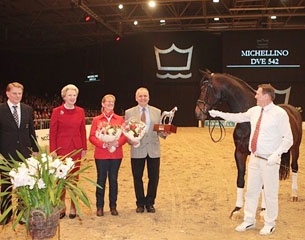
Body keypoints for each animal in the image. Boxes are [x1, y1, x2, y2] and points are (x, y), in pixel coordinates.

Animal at [195, 69, 302, 218]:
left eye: (206, 89)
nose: (198, 113)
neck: (248, 122)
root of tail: (294, 109)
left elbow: (262, 183)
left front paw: (263, 210)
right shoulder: (240, 152)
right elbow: (241, 179)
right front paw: (237, 209)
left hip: (295, 148)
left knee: (294, 168)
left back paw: (294, 195)